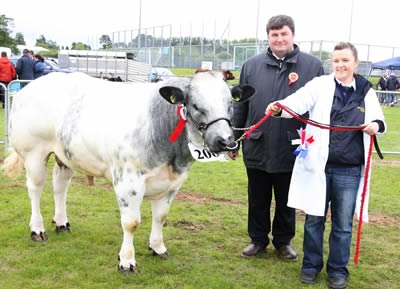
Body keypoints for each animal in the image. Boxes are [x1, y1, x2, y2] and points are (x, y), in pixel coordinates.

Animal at [1, 70, 255, 272]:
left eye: (230, 103)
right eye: (195, 105)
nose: (225, 141)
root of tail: (28, 88)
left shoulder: (172, 183)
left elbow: (161, 217)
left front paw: (158, 248)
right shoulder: (128, 181)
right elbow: (131, 222)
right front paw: (126, 261)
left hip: (66, 154)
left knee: (59, 185)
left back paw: (62, 223)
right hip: (33, 152)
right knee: (35, 188)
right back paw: (37, 229)